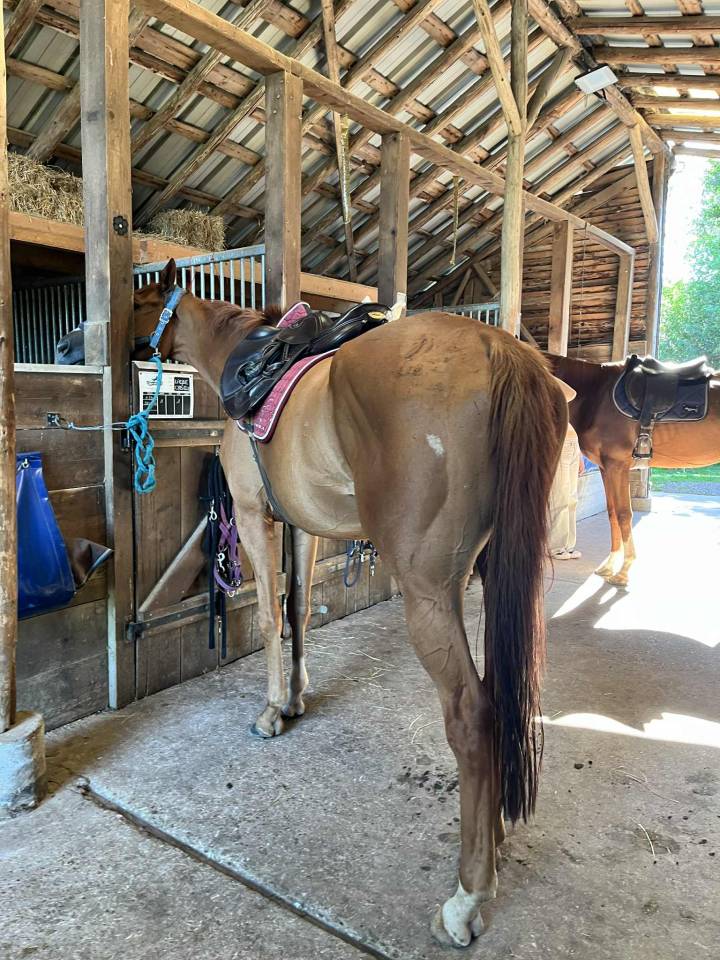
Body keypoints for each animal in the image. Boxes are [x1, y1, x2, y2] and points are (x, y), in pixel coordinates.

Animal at [58, 259, 567, 946]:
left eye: (137, 301)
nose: (65, 349)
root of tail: (500, 350)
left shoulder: (255, 518)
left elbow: (270, 615)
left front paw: (273, 710)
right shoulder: (302, 525)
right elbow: (298, 609)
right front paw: (297, 697)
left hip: (430, 591)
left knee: (473, 714)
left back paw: (466, 896)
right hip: (497, 574)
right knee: (506, 699)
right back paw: (495, 836)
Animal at [547, 354, 720, 586]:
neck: (595, 394)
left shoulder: (618, 466)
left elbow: (623, 514)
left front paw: (623, 572)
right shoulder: (606, 468)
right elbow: (612, 513)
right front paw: (610, 566)